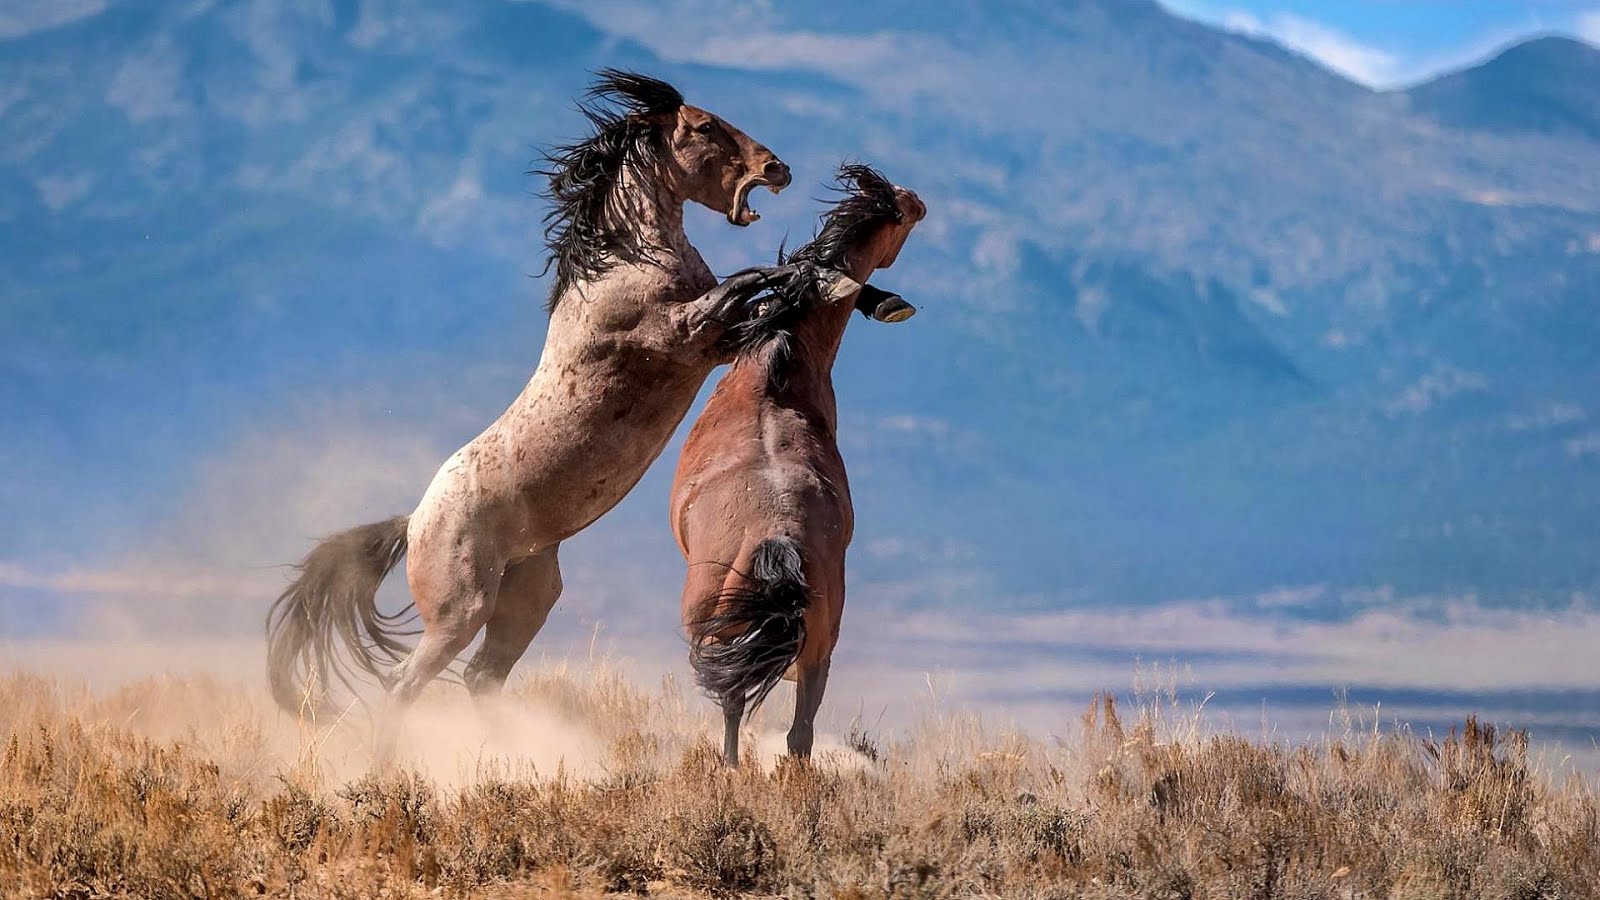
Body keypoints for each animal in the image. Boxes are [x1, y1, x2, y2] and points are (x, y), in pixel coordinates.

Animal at [265, 71, 852, 761]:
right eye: (705, 127)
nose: (777, 168)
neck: (625, 261)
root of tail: (415, 522)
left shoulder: (710, 341)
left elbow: (754, 295)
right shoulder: (686, 333)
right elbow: (750, 284)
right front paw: (818, 272)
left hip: (528, 596)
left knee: (481, 677)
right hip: (460, 610)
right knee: (404, 684)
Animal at [669, 165, 926, 766]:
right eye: (901, 212)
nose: (919, 201)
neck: (775, 369)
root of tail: (777, 541)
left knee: (741, 711)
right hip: (816, 650)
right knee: (796, 734)